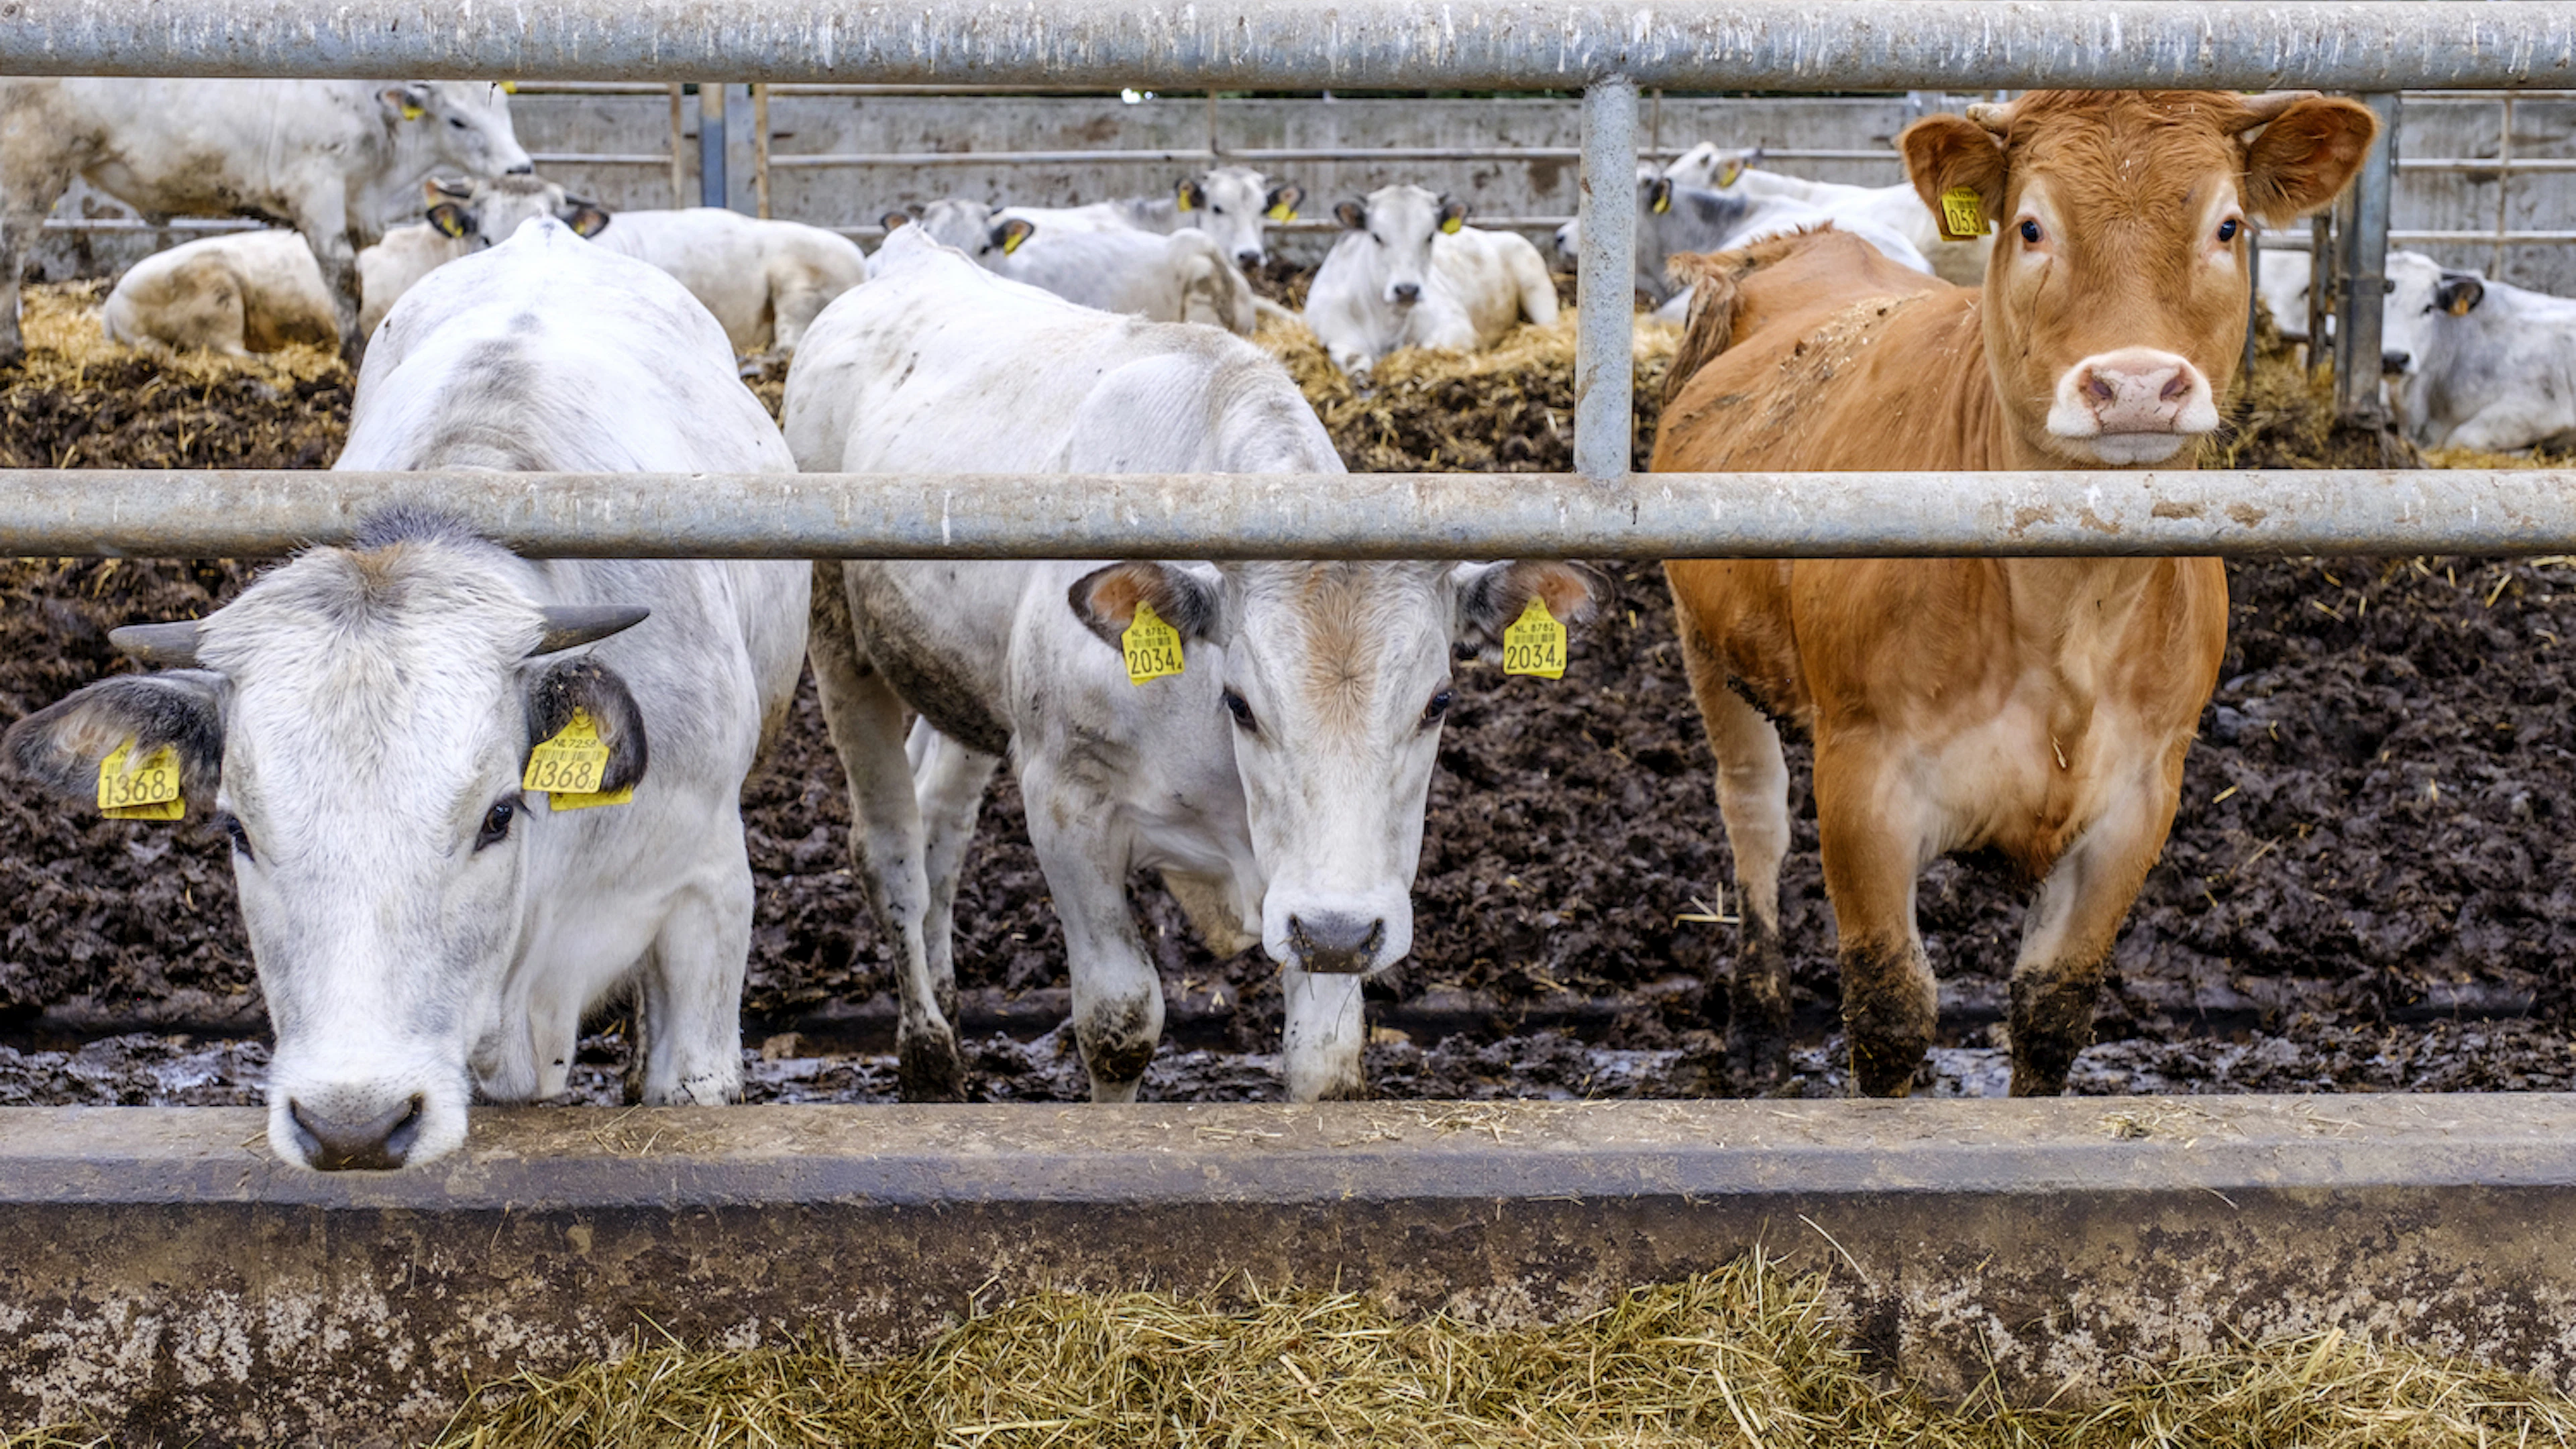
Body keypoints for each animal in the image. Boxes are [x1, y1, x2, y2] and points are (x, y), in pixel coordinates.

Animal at [783, 223, 1598, 1104]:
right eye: (1239, 702)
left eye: (1439, 702)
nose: (1339, 929)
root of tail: (912, 251)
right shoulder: (1066, 805)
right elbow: (1119, 1024)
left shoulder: (1316, 895)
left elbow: (1324, 1060)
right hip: (838, 641)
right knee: (891, 852)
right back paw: (929, 1059)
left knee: (941, 827)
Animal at [1302, 183, 1560, 379]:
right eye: (1376, 237)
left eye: (1429, 236)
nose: (1407, 290)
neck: (1388, 322)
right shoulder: (1336, 334)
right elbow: (1355, 362)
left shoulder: (1456, 324)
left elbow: (1427, 350)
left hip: (1536, 284)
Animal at [1651, 90, 2375, 1098]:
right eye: (2032, 227)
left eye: (2227, 226)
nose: (2137, 386)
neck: (2065, 616)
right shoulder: (1864, 780)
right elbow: (1890, 1012)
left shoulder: (2139, 798)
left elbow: (2053, 1010)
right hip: (1707, 640)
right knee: (1753, 812)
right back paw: (1755, 1025)